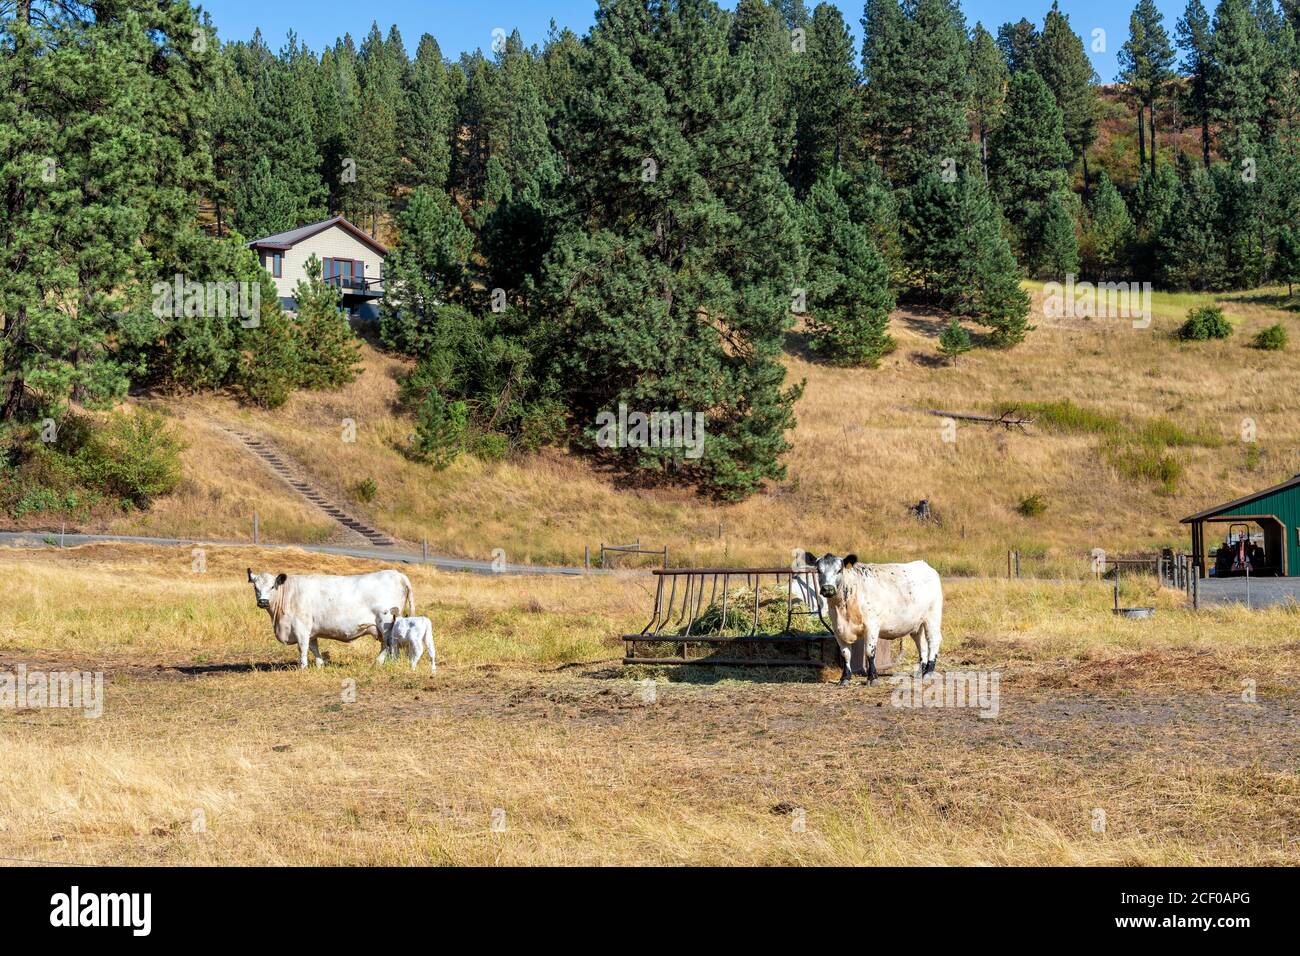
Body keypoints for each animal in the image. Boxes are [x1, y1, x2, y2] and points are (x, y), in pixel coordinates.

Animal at [248, 572, 416, 671]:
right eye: (255, 587)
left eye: (272, 586)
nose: (263, 601)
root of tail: (397, 574)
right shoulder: (311, 631)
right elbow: (314, 647)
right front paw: (320, 665)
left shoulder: (301, 627)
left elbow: (303, 648)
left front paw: (303, 667)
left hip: (386, 621)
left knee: (389, 644)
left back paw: (385, 662)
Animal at [800, 554, 946, 686]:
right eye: (819, 570)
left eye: (839, 570)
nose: (827, 589)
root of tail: (923, 565)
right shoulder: (838, 629)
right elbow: (845, 654)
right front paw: (844, 678)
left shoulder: (872, 626)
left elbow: (869, 652)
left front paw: (872, 678)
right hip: (916, 624)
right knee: (922, 644)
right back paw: (920, 672)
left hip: (932, 617)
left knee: (933, 640)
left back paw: (928, 672)